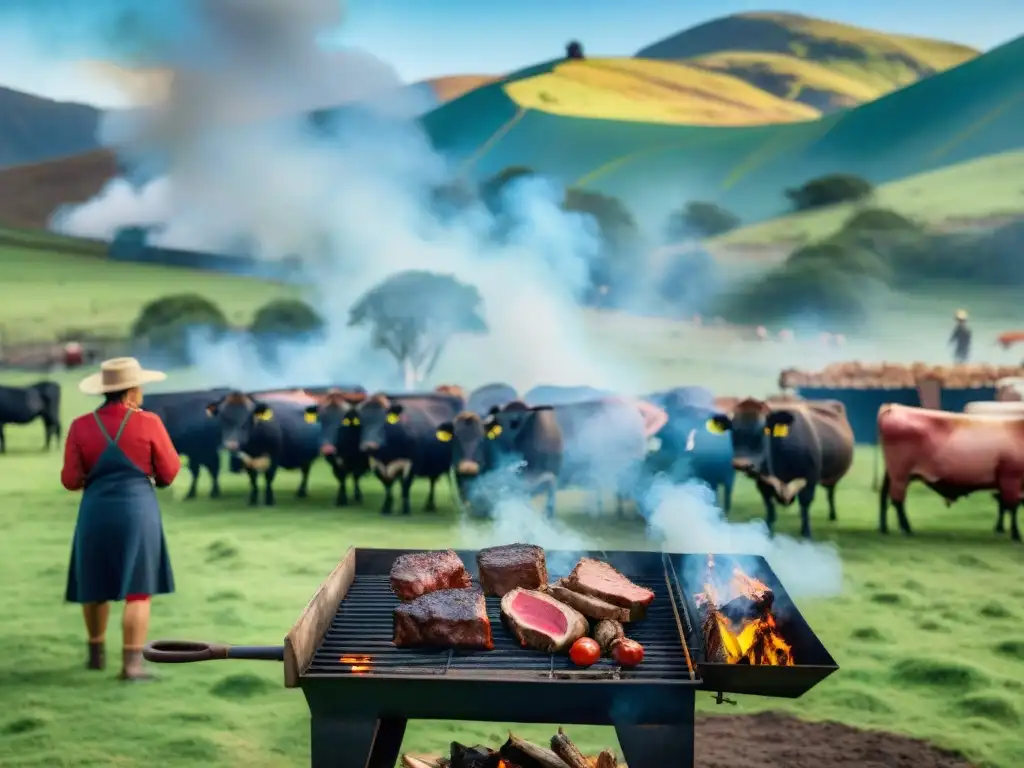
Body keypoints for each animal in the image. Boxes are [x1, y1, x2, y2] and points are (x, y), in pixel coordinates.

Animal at [708, 399, 851, 536]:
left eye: (764, 429)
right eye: (732, 429)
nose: (741, 464)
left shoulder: (810, 478)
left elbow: (805, 506)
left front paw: (806, 534)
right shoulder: (763, 483)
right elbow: (770, 510)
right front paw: (768, 534)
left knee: (830, 493)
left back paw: (832, 516)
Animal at [876, 403, 1024, 540]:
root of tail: (893, 407)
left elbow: (1005, 506)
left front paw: (1002, 530)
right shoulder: (1011, 478)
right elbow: (1012, 506)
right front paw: (1016, 535)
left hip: (893, 473)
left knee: (884, 495)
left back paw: (884, 528)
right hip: (900, 473)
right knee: (897, 500)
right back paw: (906, 529)